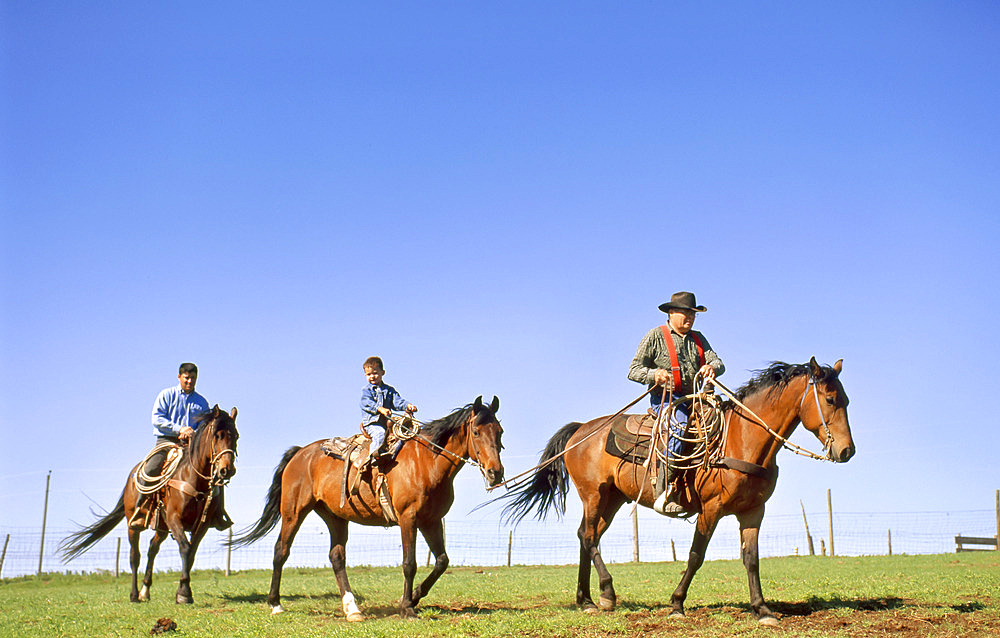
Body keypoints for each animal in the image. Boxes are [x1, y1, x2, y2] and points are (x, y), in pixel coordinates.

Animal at [60, 408, 238, 608]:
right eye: (217, 435)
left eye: (236, 436)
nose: (227, 470)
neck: (192, 477)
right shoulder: (174, 519)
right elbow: (185, 548)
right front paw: (184, 594)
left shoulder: (202, 526)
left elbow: (191, 553)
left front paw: (183, 590)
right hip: (133, 526)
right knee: (134, 557)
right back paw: (134, 595)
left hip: (161, 526)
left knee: (152, 549)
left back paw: (145, 590)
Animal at [231, 398, 504, 624]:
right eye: (476, 431)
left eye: (499, 431)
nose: (495, 472)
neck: (426, 461)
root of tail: (300, 453)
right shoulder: (408, 519)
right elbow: (409, 564)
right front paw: (407, 607)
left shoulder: (432, 521)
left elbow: (442, 561)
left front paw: (414, 597)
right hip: (293, 512)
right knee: (281, 551)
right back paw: (276, 604)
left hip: (335, 517)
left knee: (336, 557)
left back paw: (352, 610)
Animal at [504, 362, 856, 628]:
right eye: (829, 398)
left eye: (846, 400)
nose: (846, 451)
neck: (742, 439)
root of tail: (580, 431)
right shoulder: (711, 509)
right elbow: (696, 555)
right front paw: (676, 605)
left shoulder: (753, 511)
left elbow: (751, 559)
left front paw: (762, 609)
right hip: (593, 494)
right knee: (589, 537)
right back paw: (606, 593)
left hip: (613, 499)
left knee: (585, 535)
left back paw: (587, 599)